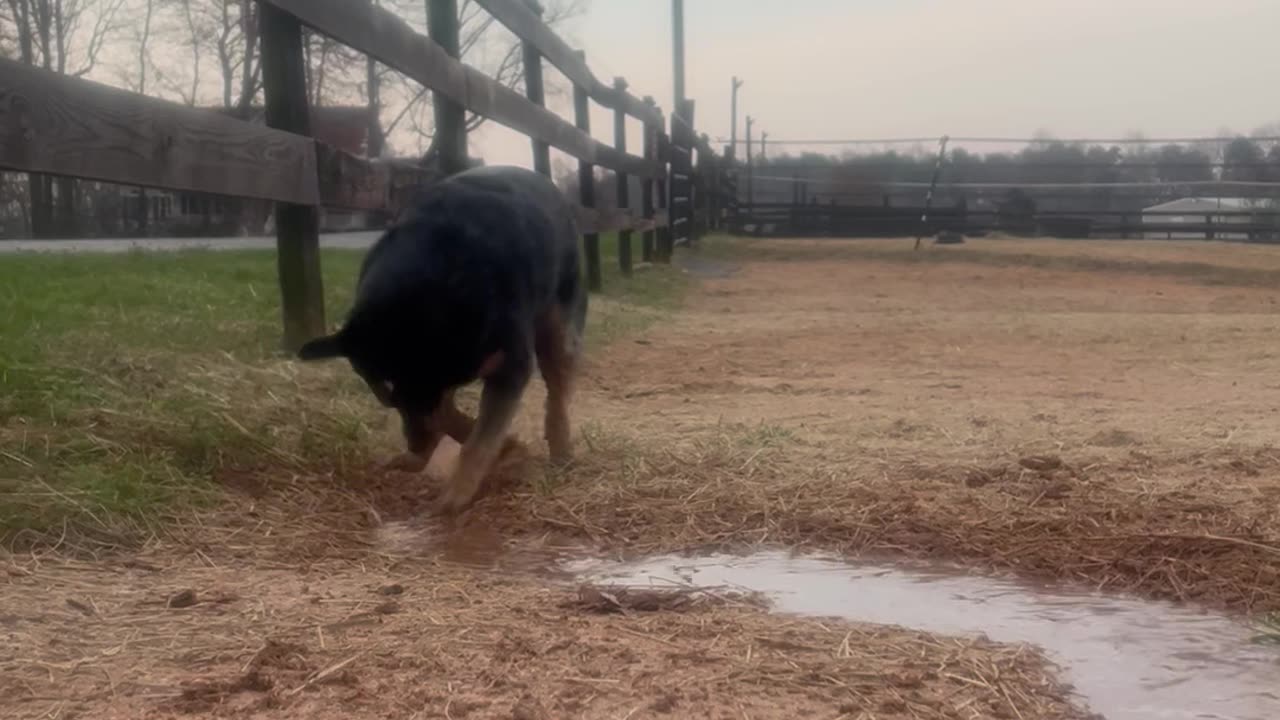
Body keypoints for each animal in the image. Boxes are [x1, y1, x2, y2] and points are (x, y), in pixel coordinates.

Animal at [296, 163, 586, 509]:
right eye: (387, 397)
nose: (415, 447)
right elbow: (451, 418)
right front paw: (507, 449)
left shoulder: (508, 364)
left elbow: (479, 439)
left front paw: (454, 498)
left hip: (559, 325)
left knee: (558, 392)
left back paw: (562, 451)